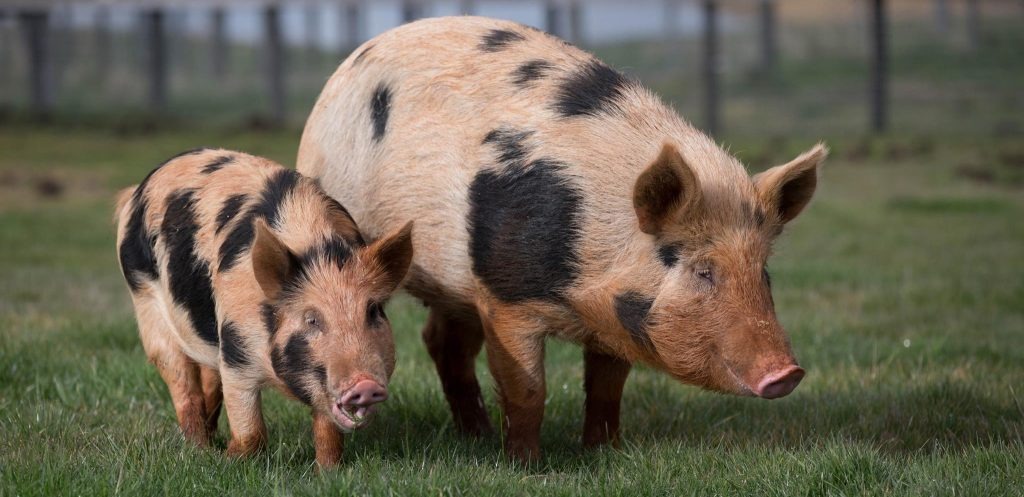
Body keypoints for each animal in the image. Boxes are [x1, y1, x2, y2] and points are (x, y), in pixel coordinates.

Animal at [114, 148, 413, 467]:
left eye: (373, 311)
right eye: (311, 319)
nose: (365, 385)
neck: (318, 248)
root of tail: (134, 194)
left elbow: (327, 430)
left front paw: (328, 471)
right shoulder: (235, 347)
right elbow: (250, 428)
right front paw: (230, 460)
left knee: (208, 378)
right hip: (144, 300)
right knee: (181, 381)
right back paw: (201, 451)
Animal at [297, 16, 826, 462]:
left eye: (764, 272)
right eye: (703, 270)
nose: (788, 373)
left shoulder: (608, 313)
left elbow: (608, 386)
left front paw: (605, 452)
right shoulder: (505, 297)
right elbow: (527, 389)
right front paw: (525, 465)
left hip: (456, 285)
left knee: (442, 342)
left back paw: (476, 436)